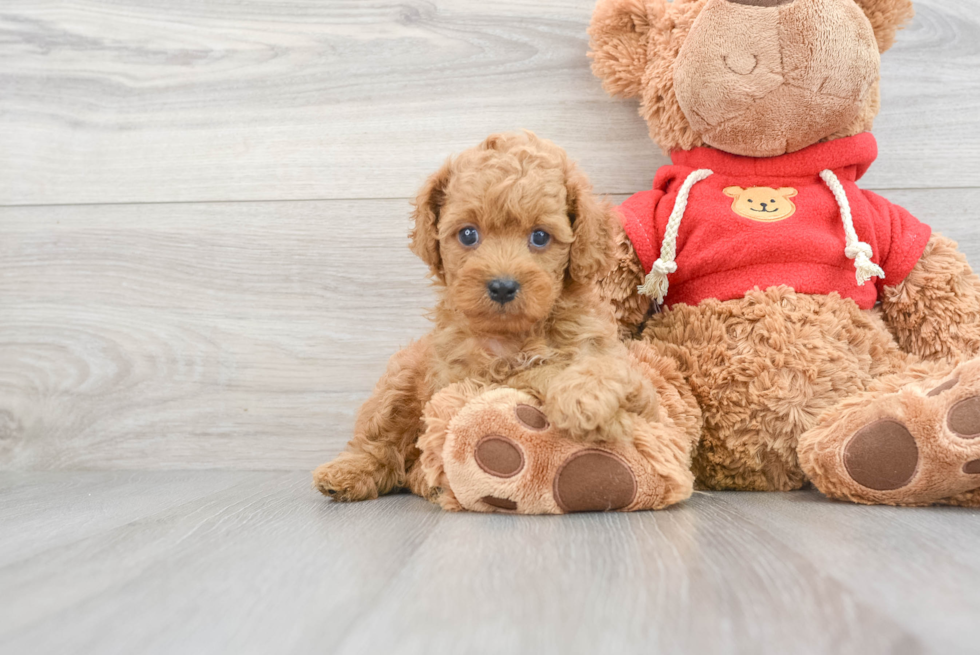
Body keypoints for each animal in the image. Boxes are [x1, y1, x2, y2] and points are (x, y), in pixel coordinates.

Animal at [312, 132, 696, 512]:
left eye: (540, 236)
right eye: (468, 234)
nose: (502, 286)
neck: (517, 335)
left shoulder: (624, 371)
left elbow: (603, 369)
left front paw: (587, 398)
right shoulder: (461, 377)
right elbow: (521, 375)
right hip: (401, 377)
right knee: (383, 442)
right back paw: (353, 474)